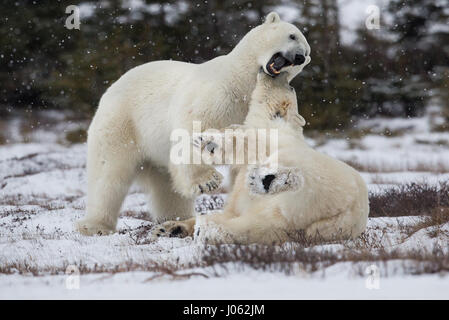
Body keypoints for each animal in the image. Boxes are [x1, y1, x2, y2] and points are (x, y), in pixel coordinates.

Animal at [75, 11, 310, 235]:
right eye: (292, 35)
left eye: (307, 54)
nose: (299, 57)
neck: (242, 84)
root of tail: (111, 88)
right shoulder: (217, 95)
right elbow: (193, 129)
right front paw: (208, 181)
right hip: (122, 122)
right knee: (108, 174)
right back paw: (95, 226)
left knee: (167, 186)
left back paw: (173, 220)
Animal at [152, 71, 370, 244]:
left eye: (291, 86)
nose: (274, 73)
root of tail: (349, 214)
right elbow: (234, 211)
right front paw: (167, 228)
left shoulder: (271, 139)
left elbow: (246, 142)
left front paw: (208, 140)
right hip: (298, 217)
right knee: (264, 226)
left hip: (321, 184)